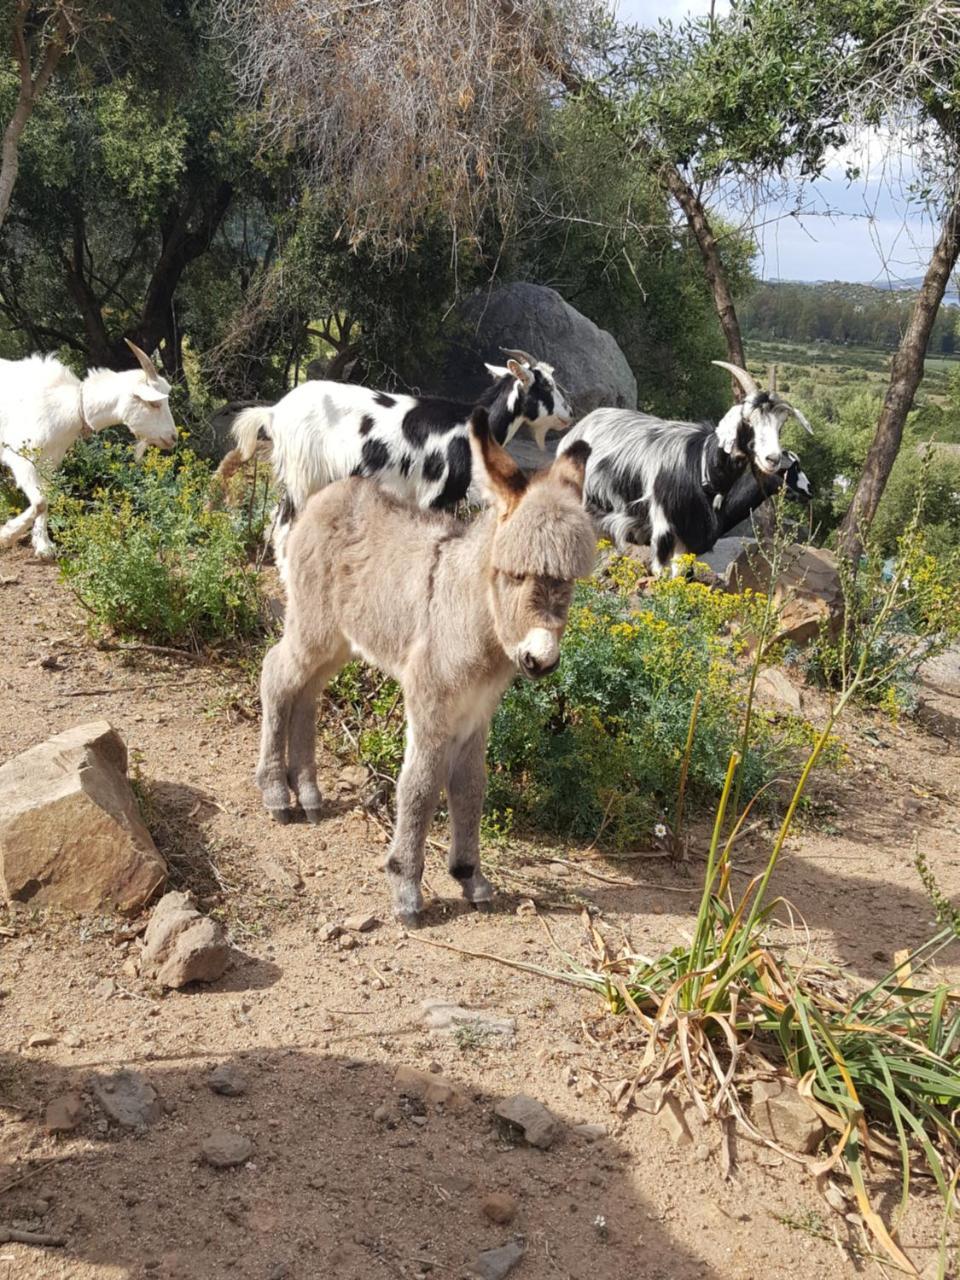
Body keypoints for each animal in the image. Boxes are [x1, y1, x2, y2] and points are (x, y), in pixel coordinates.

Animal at [0, 343, 176, 558]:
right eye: (154, 403)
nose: (173, 437)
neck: (68, 407)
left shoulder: (48, 463)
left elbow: (46, 499)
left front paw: (43, 546)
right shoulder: (22, 458)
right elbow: (40, 502)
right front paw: (7, 535)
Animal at [218, 350, 576, 581]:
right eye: (545, 385)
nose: (568, 413)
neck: (469, 426)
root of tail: (274, 412)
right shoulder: (434, 495)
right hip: (304, 476)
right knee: (283, 525)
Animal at [259, 409, 599, 921]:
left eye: (568, 582)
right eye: (514, 575)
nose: (540, 660)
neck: (477, 622)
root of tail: (327, 495)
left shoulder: (477, 713)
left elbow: (471, 787)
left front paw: (469, 876)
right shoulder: (431, 705)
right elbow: (419, 787)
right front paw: (405, 886)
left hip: (338, 642)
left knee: (308, 692)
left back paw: (309, 794)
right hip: (312, 626)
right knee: (276, 675)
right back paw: (277, 794)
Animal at [560, 363, 814, 578]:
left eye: (780, 426)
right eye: (748, 420)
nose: (772, 459)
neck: (702, 468)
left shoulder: (689, 541)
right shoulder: (663, 531)